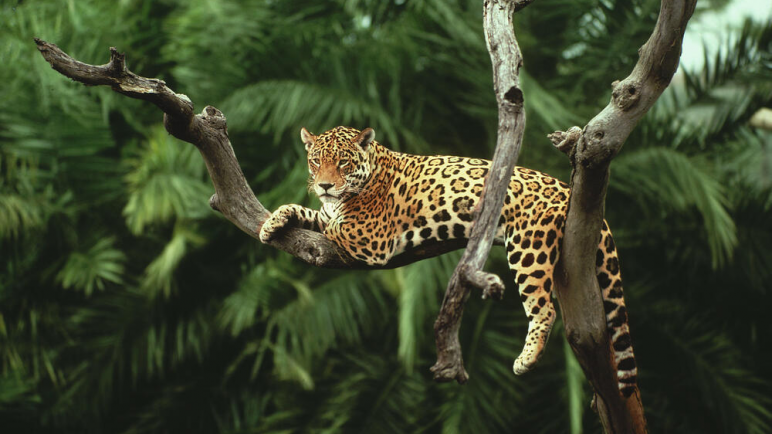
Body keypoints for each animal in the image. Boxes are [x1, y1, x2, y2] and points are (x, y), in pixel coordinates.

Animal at [259, 126, 638, 397]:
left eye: (343, 163)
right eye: (315, 161)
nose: (324, 185)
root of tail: (565, 188)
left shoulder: (370, 236)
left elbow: (332, 223)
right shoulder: (331, 213)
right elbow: (308, 212)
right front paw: (272, 222)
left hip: (528, 247)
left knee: (543, 308)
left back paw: (526, 360)